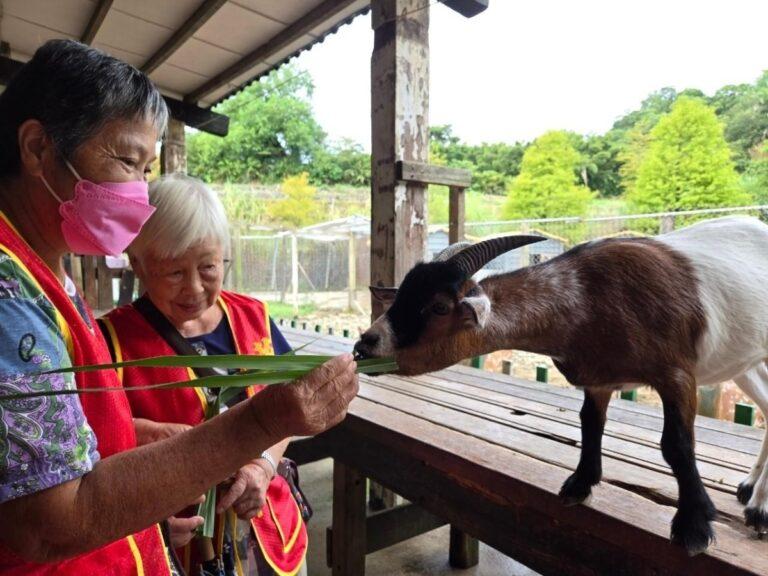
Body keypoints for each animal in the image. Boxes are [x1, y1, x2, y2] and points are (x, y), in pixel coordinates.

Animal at [356, 215, 768, 552]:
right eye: (401, 296)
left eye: (439, 307)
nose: (366, 344)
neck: (587, 294)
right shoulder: (600, 379)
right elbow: (590, 423)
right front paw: (579, 485)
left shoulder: (677, 374)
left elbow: (677, 444)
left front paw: (693, 527)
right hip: (746, 362)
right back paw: (750, 490)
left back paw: (759, 507)